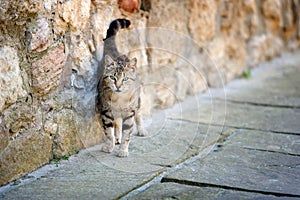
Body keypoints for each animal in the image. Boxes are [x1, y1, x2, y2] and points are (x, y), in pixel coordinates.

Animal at [96, 18, 147, 157]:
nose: (118, 86)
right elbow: (109, 132)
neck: (119, 99)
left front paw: (123, 150)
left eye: (125, 79)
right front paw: (110, 145)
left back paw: (141, 130)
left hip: (137, 102)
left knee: (139, 114)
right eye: (112, 77)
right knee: (117, 122)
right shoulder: (106, 111)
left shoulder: (129, 113)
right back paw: (117, 137)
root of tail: (119, 54)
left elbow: (127, 133)